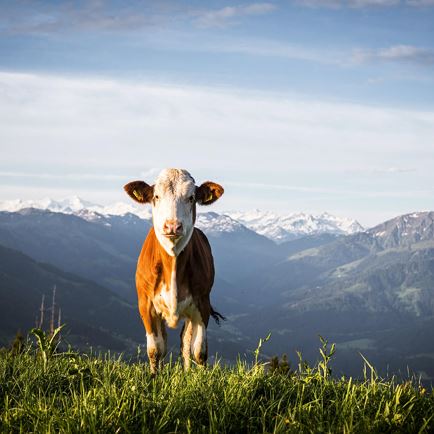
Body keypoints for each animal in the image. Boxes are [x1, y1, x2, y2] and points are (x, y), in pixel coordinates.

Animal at [122, 168, 224, 374]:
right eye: (156, 196)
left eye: (191, 197)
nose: (172, 226)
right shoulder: (145, 304)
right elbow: (155, 349)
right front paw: (155, 377)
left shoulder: (202, 303)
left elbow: (199, 350)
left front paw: (200, 378)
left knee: (185, 341)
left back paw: (187, 372)